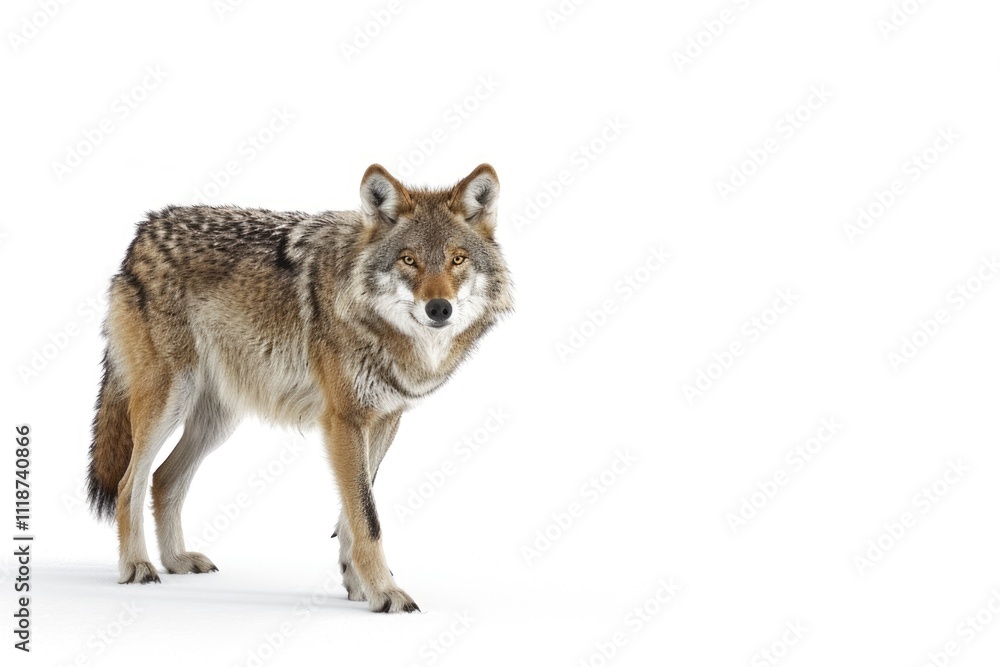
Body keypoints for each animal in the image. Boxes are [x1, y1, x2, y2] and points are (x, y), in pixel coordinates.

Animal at [87, 164, 513, 613]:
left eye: (457, 259)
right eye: (409, 260)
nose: (439, 309)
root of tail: (144, 232)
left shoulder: (383, 421)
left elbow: (353, 515)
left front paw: (359, 585)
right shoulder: (344, 421)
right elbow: (368, 518)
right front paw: (386, 593)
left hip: (218, 420)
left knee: (164, 479)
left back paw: (177, 561)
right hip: (169, 402)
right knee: (128, 485)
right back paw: (137, 566)